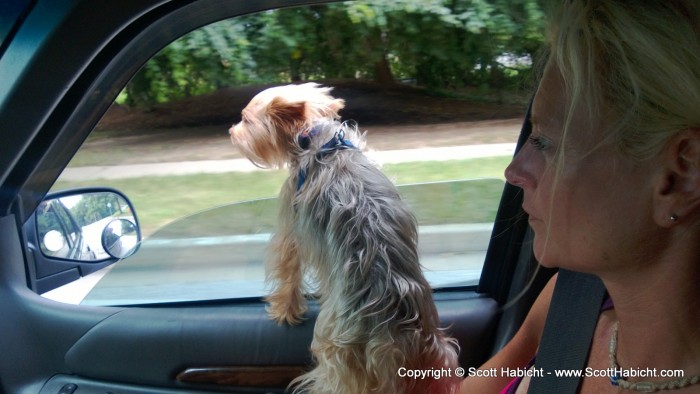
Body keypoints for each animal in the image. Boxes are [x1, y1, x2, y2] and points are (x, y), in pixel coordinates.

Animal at [227, 84, 462, 394]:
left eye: (246, 120)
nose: (230, 131)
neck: (315, 138)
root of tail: (392, 334)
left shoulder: (291, 223)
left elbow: (289, 268)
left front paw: (285, 311)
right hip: (439, 357)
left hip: (336, 353)